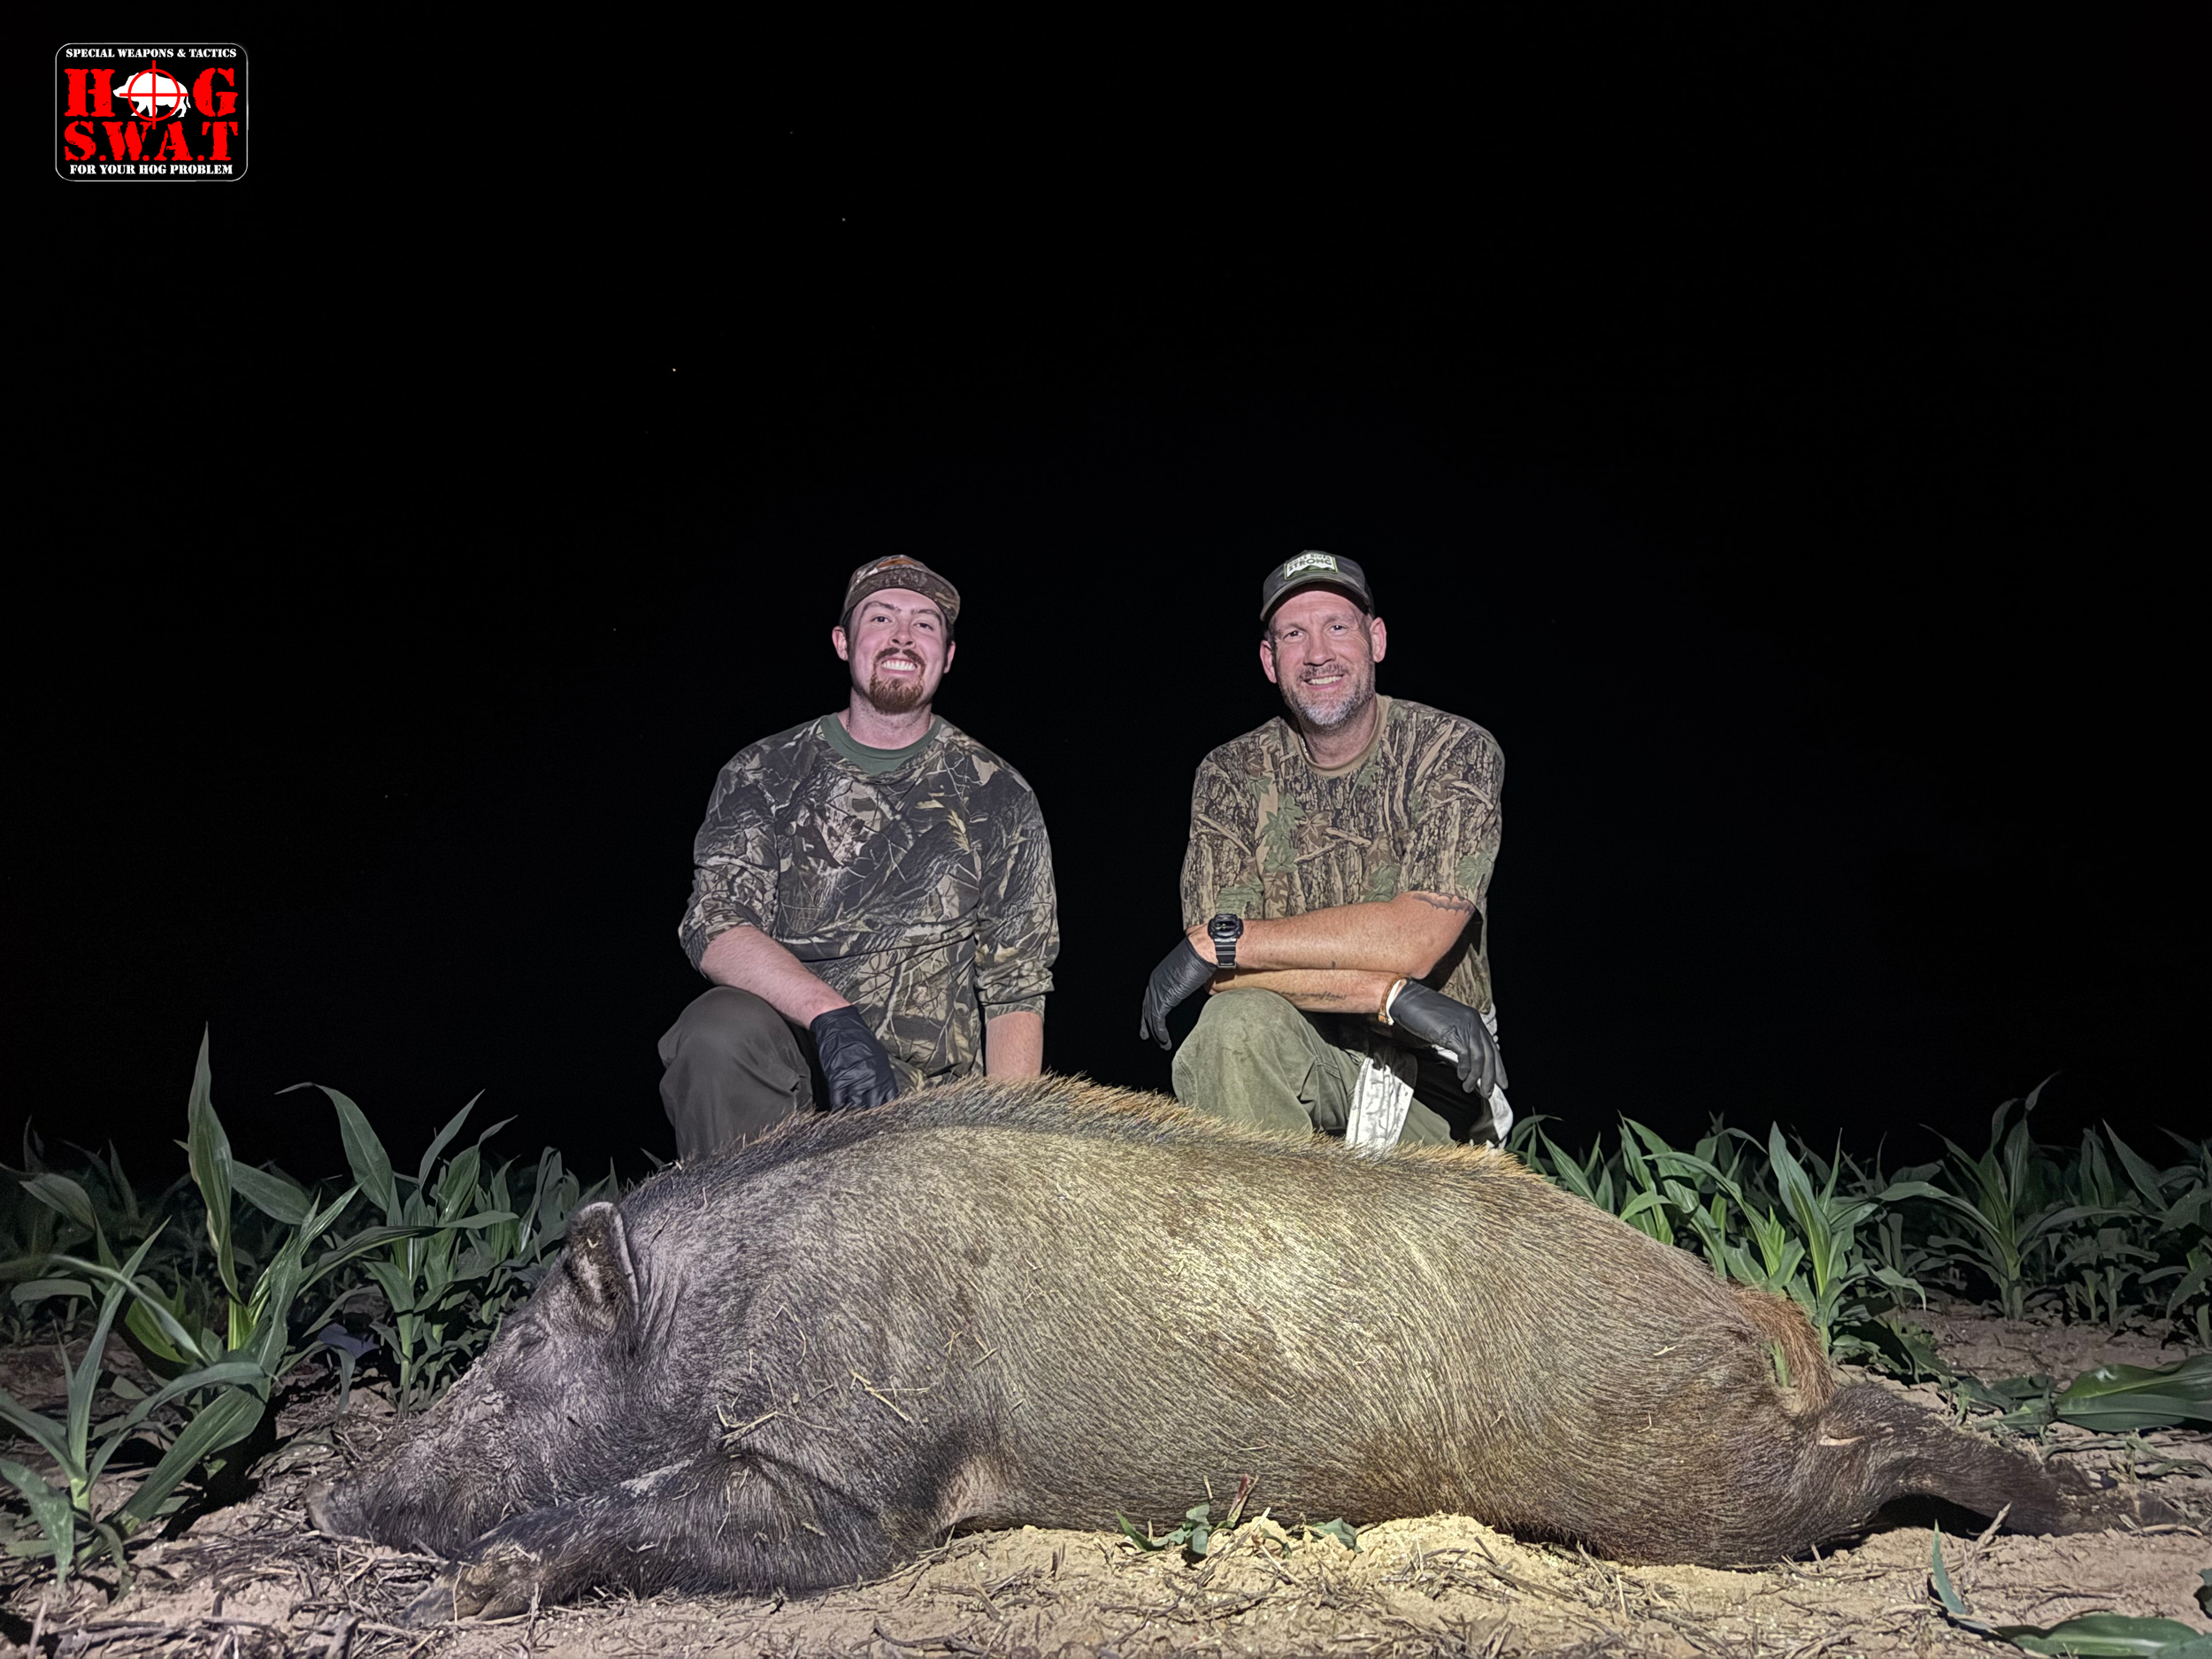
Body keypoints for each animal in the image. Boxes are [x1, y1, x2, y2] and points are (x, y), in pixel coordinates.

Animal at [310, 1078, 2149, 1622]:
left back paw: (2093, 1510)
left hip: (1684, 1482)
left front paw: (477, 1586)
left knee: (1865, 1453)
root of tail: (1750, 1319)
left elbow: (691, 1511)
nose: (342, 1503)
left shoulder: (856, 1481)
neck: (731, 1308)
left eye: (511, 1356)